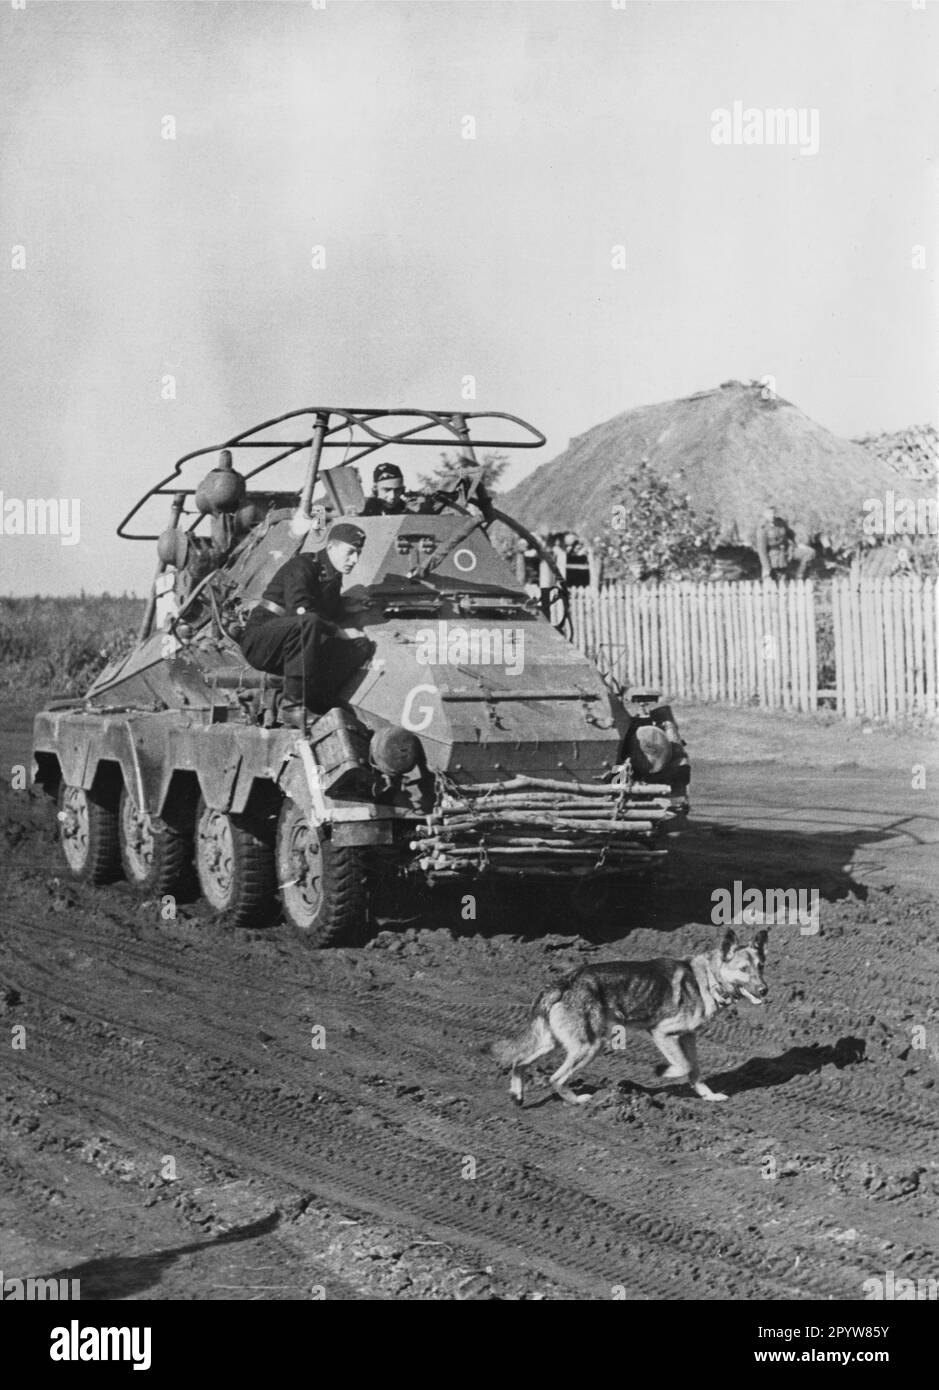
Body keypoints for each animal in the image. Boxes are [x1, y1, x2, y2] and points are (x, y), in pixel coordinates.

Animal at [488, 934, 766, 1106]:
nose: (765, 990)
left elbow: (695, 1070)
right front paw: (664, 1072)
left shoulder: (688, 1037)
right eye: (744, 969)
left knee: (519, 1062)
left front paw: (708, 1096)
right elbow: (684, 1066)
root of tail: (565, 981)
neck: (707, 979)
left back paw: (517, 1095)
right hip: (590, 1046)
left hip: (554, 1042)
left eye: (761, 966)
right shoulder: (662, 1033)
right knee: (555, 1078)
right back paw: (578, 1101)